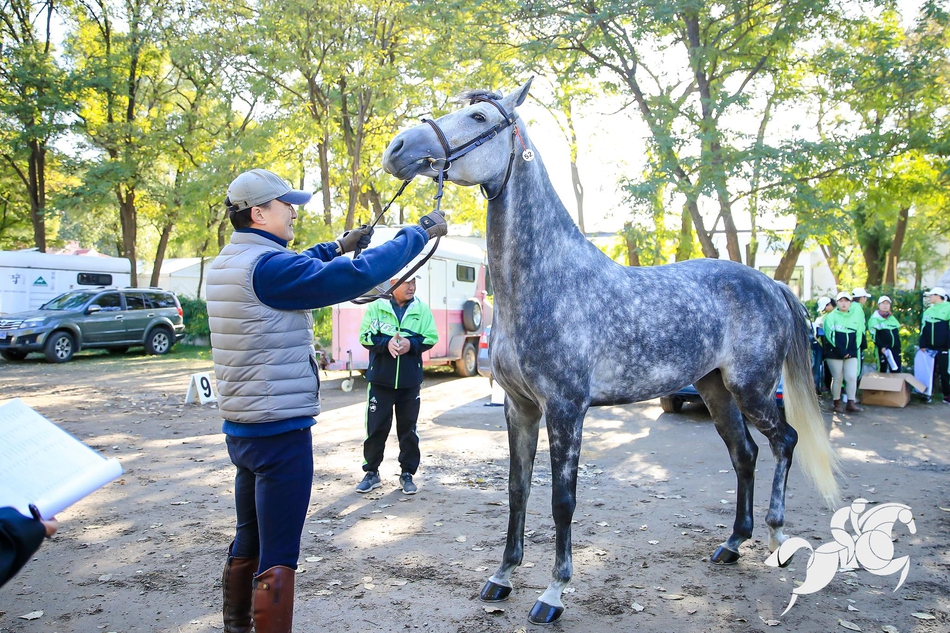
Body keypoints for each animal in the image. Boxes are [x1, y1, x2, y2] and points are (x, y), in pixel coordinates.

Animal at [382, 78, 840, 625]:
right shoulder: (519, 408)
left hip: (751, 389)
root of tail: (771, 284)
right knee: (744, 453)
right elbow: (517, 491)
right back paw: (732, 544)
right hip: (714, 390)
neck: (547, 282)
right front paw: (502, 576)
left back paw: (777, 537)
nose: (397, 149)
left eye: (478, 118)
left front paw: (553, 593)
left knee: (784, 442)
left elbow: (562, 500)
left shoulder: (566, 409)